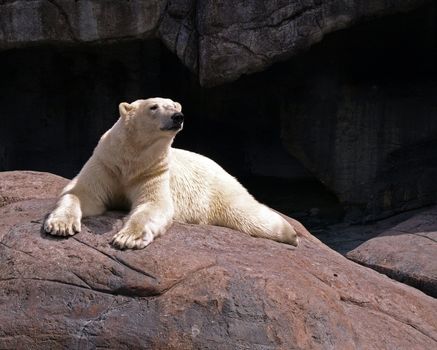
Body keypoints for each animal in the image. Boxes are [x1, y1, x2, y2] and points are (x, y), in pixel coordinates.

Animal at [44, 97, 298, 247]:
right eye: (153, 107)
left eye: (176, 106)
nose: (178, 116)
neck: (131, 161)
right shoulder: (106, 163)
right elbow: (82, 193)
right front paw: (60, 225)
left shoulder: (153, 171)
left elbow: (153, 204)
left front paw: (128, 238)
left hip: (218, 190)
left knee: (247, 213)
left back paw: (291, 233)